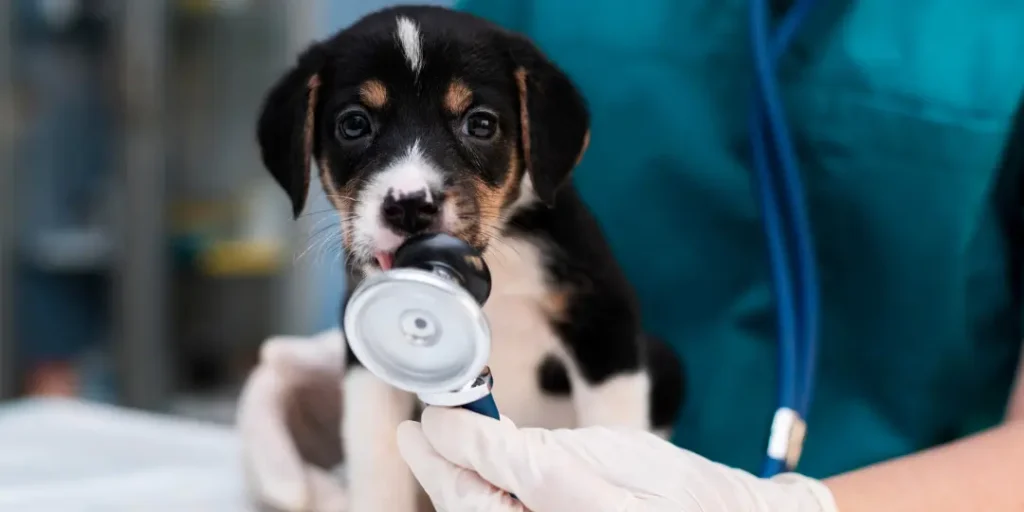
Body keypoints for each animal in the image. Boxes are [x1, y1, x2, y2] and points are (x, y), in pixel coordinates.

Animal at [258, 4, 688, 512]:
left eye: (480, 124)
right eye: (354, 124)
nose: (410, 206)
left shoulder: (603, 324)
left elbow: (613, 431)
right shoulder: (367, 365)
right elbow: (378, 463)